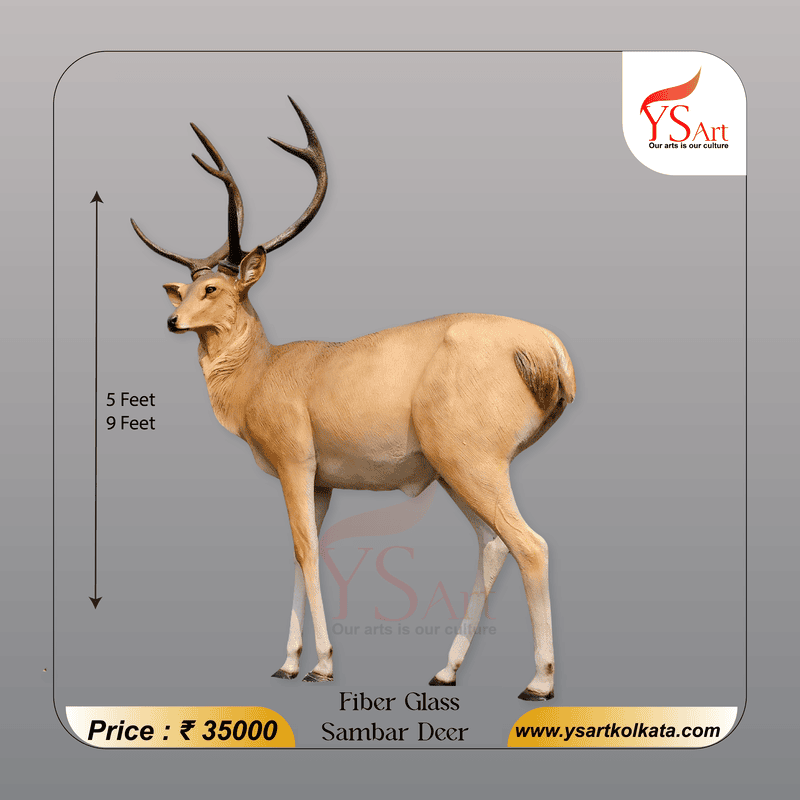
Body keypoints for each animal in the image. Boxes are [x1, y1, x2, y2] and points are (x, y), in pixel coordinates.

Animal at [131, 97, 575, 701]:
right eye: (185, 287)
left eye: (214, 288)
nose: (173, 320)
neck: (264, 372)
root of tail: (548, 349)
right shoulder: (321, 481)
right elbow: (300, 552)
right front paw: (287, 663)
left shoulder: (295, 460)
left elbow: (307, 550)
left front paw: (321, 665)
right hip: (454, 472)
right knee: (493, 545)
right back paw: (445, 670)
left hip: (473, 461)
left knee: (531, 544)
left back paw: (539, 682)